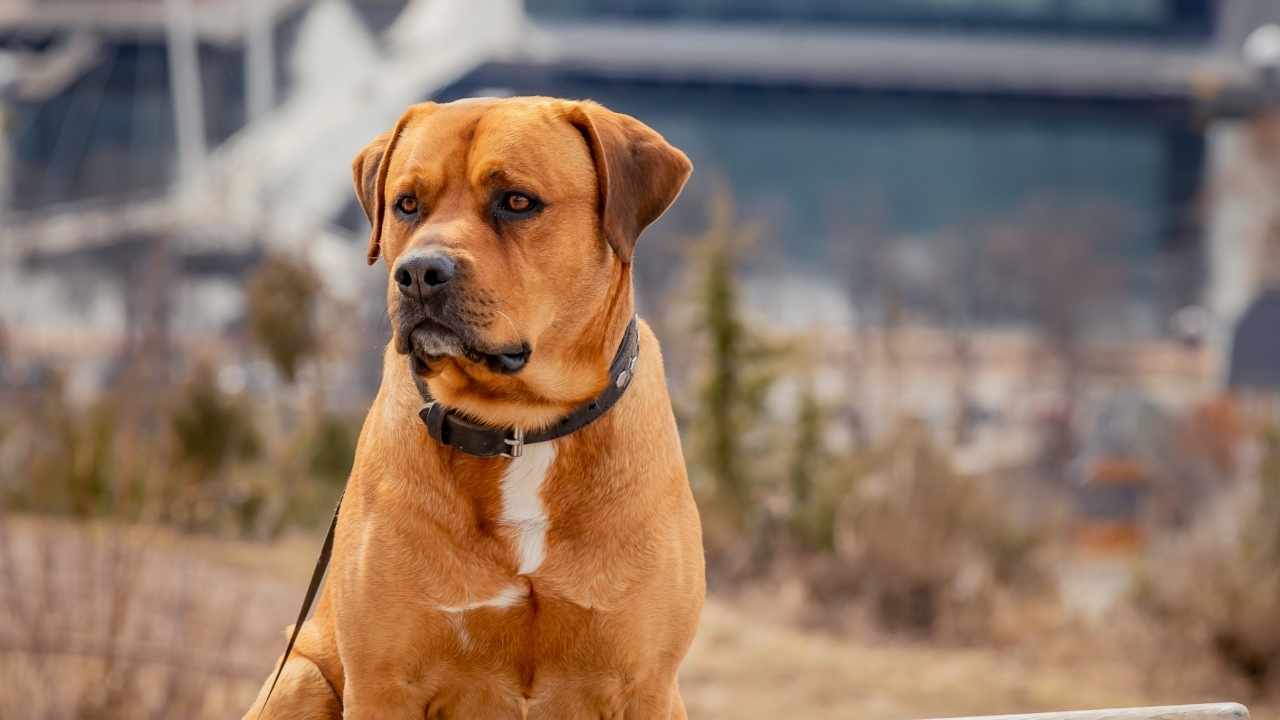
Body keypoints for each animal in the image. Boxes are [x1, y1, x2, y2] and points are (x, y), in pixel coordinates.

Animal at [240, 96, 711, 717]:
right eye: (406, 204)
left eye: (516, 201)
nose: (418, 273)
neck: (519, 425)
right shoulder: (382, 682)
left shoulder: (646, 685)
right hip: (300, 679)